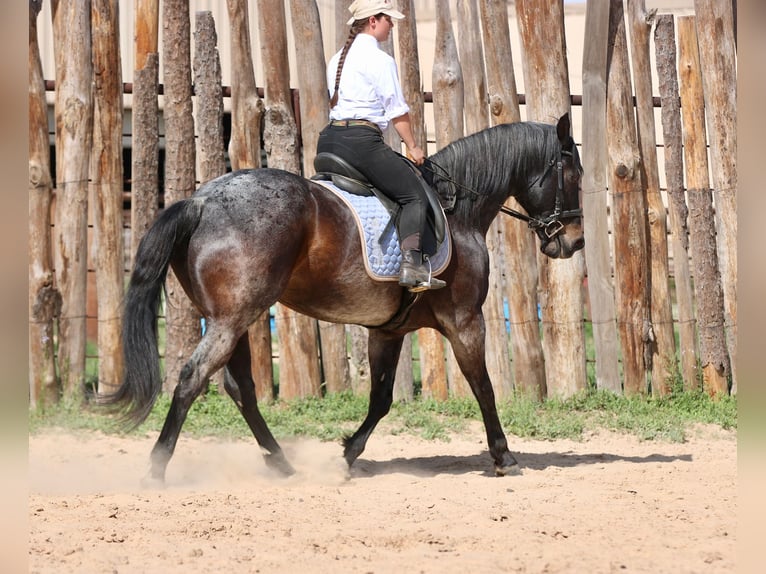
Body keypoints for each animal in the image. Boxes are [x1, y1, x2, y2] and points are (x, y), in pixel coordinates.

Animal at [104, 113, 584, 483]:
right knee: (192, 377)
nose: (574, 242)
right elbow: (483, 387)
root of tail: (201, 201)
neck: (458, 210)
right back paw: (157, 469)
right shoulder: (465, 320)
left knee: (239, 387)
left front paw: (347, 453)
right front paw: (504, 457)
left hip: (231, 317)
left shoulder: (388, 331)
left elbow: (382, 398)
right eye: (573, 175)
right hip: (232, 318)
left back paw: (281, 464)